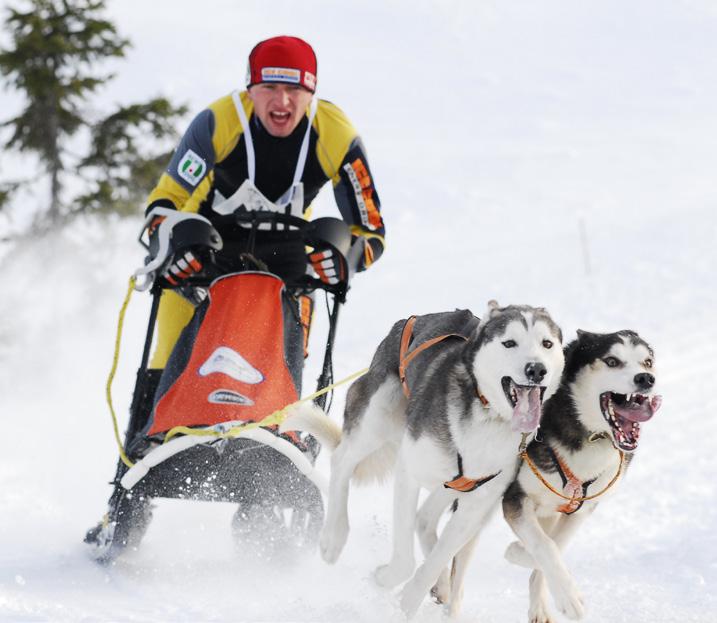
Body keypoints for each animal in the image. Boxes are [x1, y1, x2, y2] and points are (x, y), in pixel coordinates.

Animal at [280, 302, 564, 620]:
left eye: (546, 343)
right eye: (509, 342)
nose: (536, 369)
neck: (487, 416)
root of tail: (411, 320)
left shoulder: (475, 504)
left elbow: (437, 558)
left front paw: (409, 601)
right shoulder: (409, 471)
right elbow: (405, 561)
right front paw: (386, 582)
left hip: (450, 485)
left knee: (427, 521)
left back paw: (440, 584)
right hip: (378, 418)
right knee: (342, 460)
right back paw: (334, 536)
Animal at [496, 330, 664, 620]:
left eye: (647, 362)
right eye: (611, 361)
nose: (645, 378)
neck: (589, 435)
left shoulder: (582, 508)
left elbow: (555, 545)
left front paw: (522, 553)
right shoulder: (516, 497)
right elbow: (546, 546)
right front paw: (569, 596)